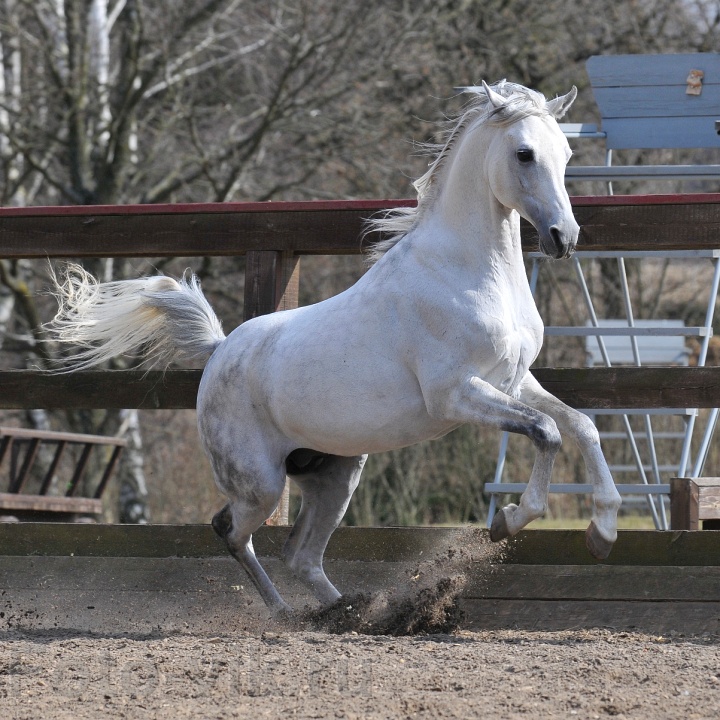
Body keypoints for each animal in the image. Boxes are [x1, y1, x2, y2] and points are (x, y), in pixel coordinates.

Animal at [53, 83, 620, 612]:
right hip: (261, 482)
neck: (469, 273)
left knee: (299, 555)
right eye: (524, 153)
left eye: (566, 154)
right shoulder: (456, 394)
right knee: (231, 531)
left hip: (336, 473)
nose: (564, 237)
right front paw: (510, 520)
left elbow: (579, 425)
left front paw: (603, 531)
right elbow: (546, 431)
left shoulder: (515, 381)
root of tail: (218, 351)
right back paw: (285, 615)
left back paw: (347, 613)